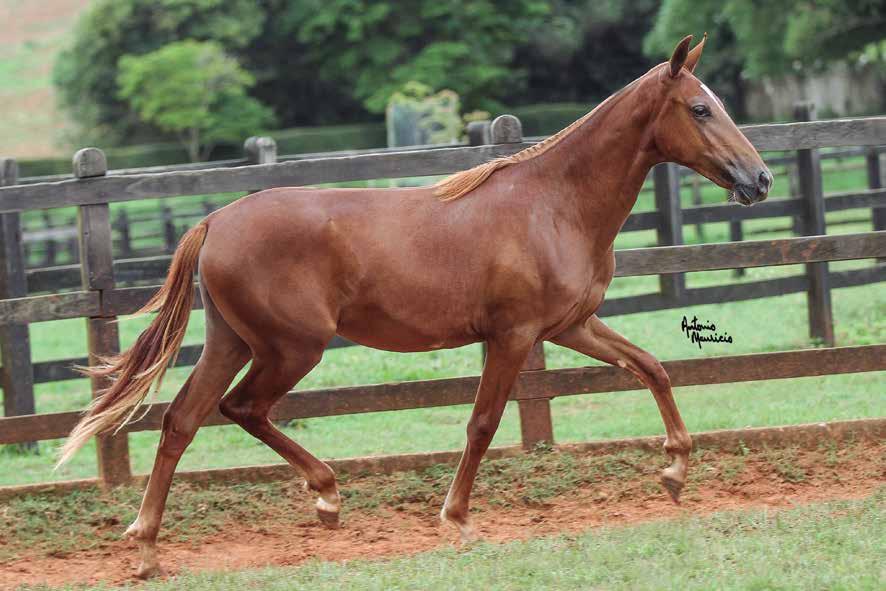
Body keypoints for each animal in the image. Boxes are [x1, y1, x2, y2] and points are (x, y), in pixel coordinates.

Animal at [59, 34, 772, 576]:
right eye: (700, 108)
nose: (759, 178)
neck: (554, 204)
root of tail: (214, 221)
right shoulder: (513, 336)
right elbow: (482, 424)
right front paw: (456, 521)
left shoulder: (571, 326)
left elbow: (652, 367)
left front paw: (675, 470)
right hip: (291, 348)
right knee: (242, 409)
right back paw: (325, 497)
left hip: (233, 341)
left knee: (182, 420)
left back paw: (148, 548)